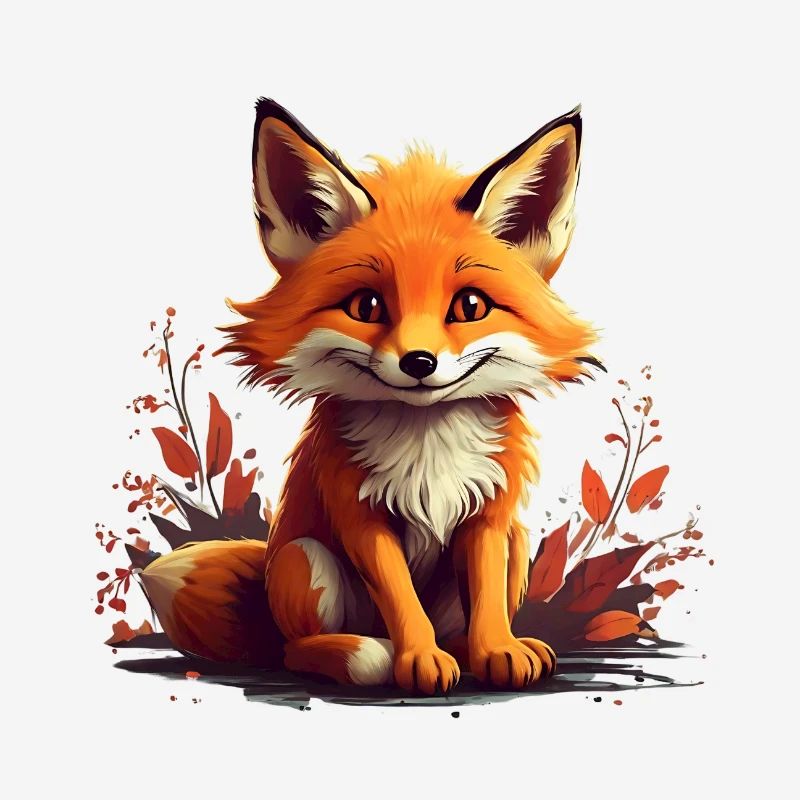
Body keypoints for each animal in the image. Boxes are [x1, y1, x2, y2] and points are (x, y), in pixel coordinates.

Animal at [140, 98, 599, 694]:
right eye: (367, 306)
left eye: (470, 306)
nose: (419, 362)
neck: (428, 445)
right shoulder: (359, 516)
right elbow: (402, 600)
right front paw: (417, 659)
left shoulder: (489, 516)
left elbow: (487, 602)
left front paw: (496, 650)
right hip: (305, 558)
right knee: (295, 651)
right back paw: (363, 654)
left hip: (517, 544)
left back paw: (468, 650)